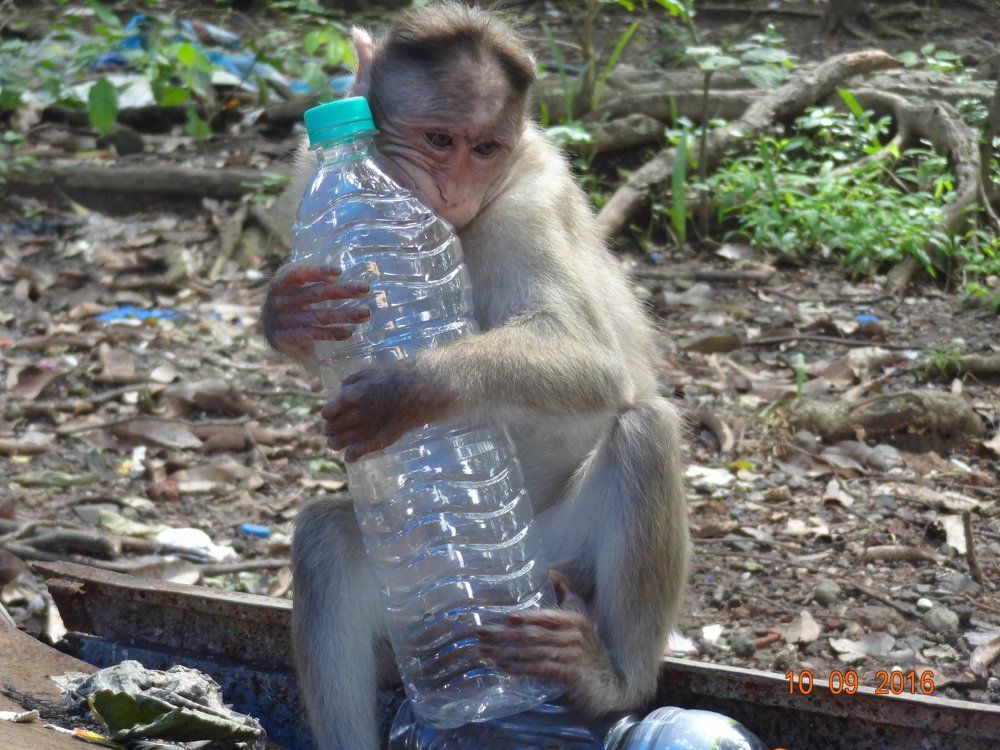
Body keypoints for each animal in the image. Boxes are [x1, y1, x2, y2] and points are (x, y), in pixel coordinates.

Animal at [260, 3, 690, 748]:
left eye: (485, 149)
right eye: (440, 139)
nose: (457, 190)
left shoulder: (530, 204)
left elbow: (592, 358)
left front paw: (410, 386)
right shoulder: (304, 185)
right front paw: (285, 314)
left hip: (560, 567)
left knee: (645, 429)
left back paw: (610, 680)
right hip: (421, 604)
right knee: (326, 542)